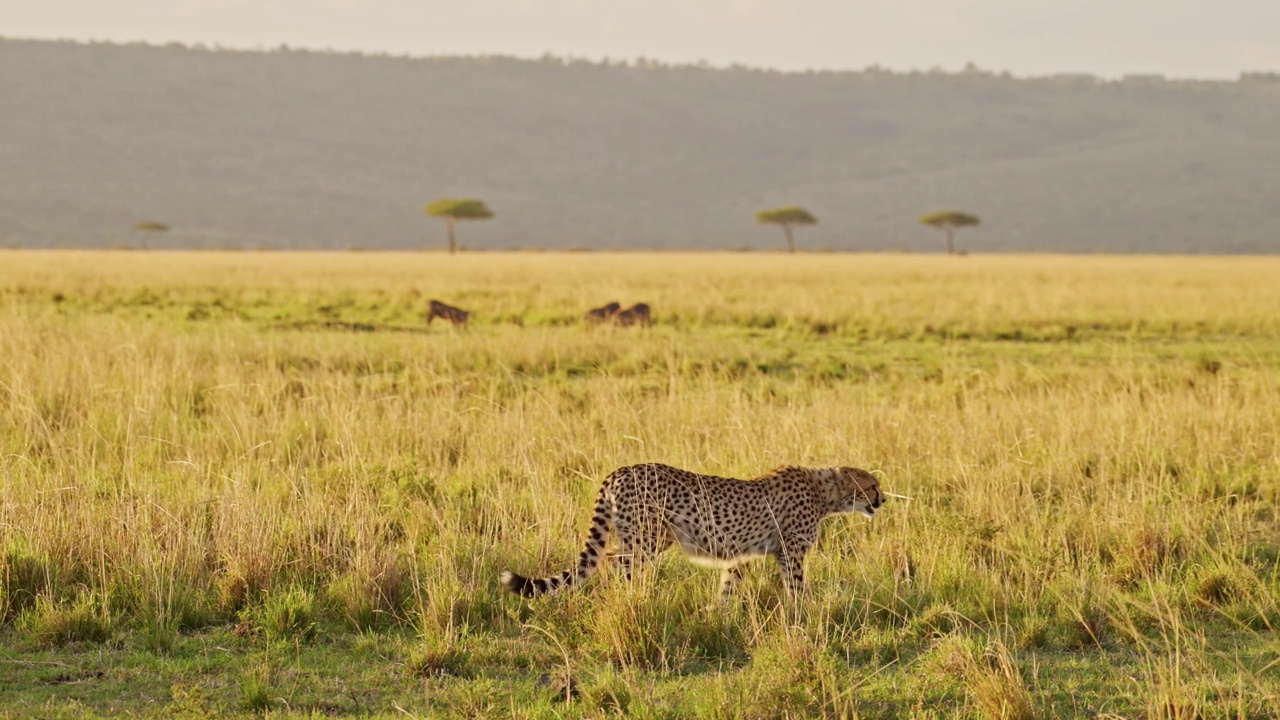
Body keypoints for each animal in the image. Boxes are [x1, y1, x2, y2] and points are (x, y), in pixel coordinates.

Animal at [499, 461, 880, 597]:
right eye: (872, 485)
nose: (883, 500)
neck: (825, 493)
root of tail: (621, 470)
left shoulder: (739, 556)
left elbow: (728, 587)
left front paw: (720, 617)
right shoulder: (791, 553)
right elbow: (797, 589)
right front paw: (802, 617)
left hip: (651, 537)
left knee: (610, 558)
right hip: (646, 539)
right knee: (616, 561)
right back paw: (634, 599)